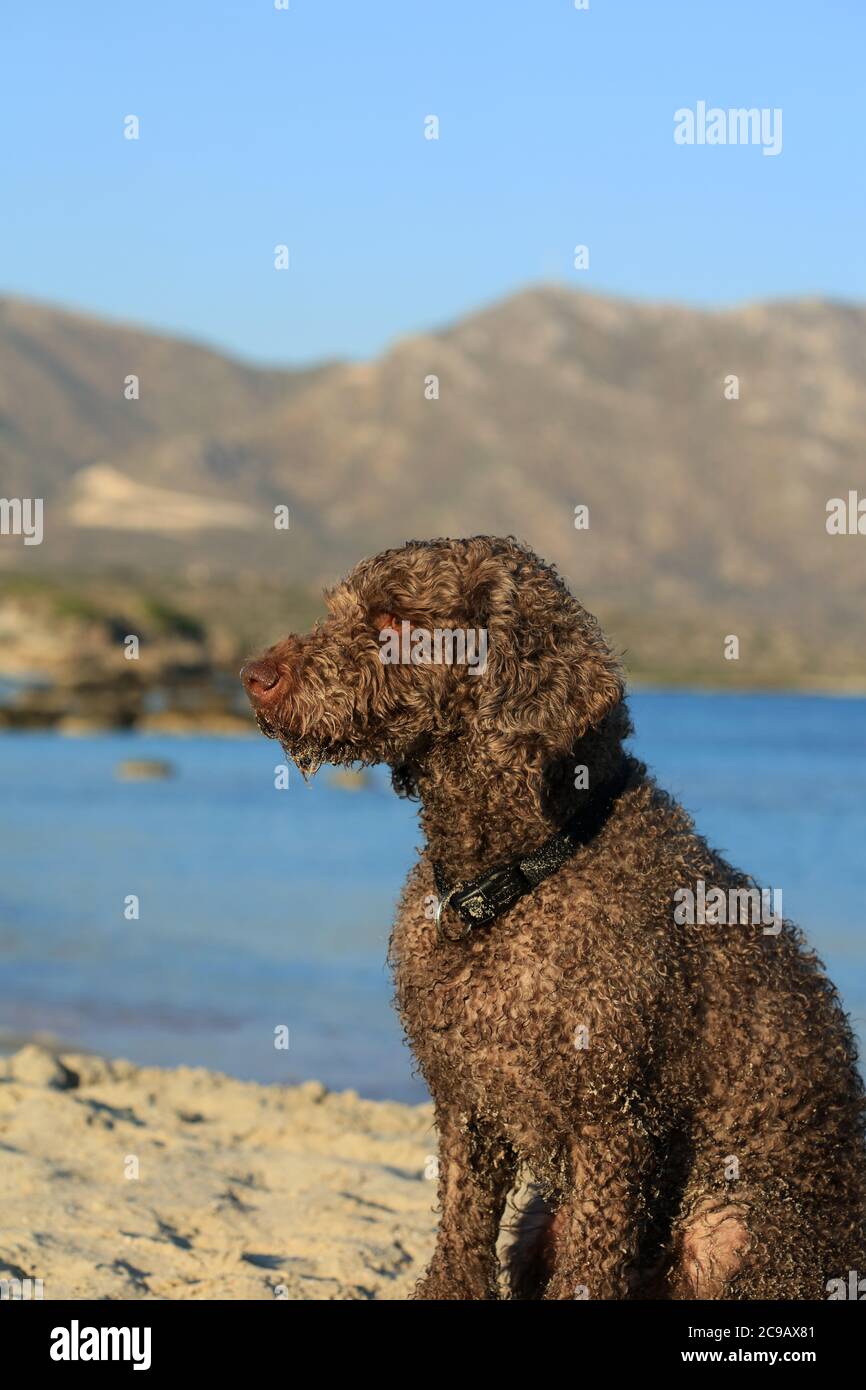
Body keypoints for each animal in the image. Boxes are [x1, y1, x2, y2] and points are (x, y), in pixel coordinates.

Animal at [240, 533, 866, 1301]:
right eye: (339, 609)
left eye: (393, 622)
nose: (253, 676)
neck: (513, 878)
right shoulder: (467, 1105)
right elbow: (458, 1242)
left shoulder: (613, 1125)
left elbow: (589, 1272)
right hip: (544, 1223)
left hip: (738, 1238)